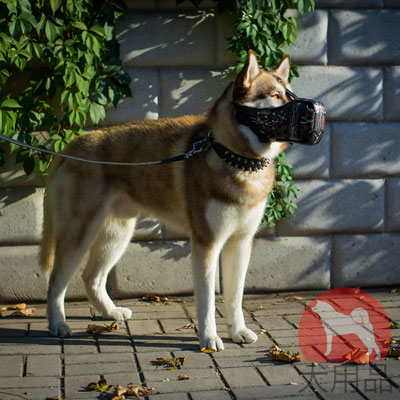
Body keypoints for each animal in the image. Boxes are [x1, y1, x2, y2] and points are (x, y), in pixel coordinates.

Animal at [40, 50, 292, 350]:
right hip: (79, 234)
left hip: (117, 234)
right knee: (56, 281)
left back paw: (110, 312)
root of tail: (71, 146)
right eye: (276, 96)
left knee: (91, 277)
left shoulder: (240, 242)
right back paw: (57, 323)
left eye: (290, 93)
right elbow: (207, 302)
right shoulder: (206, 243)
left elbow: (235, 298)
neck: (235, 158)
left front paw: (238, 331)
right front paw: (209, 338)